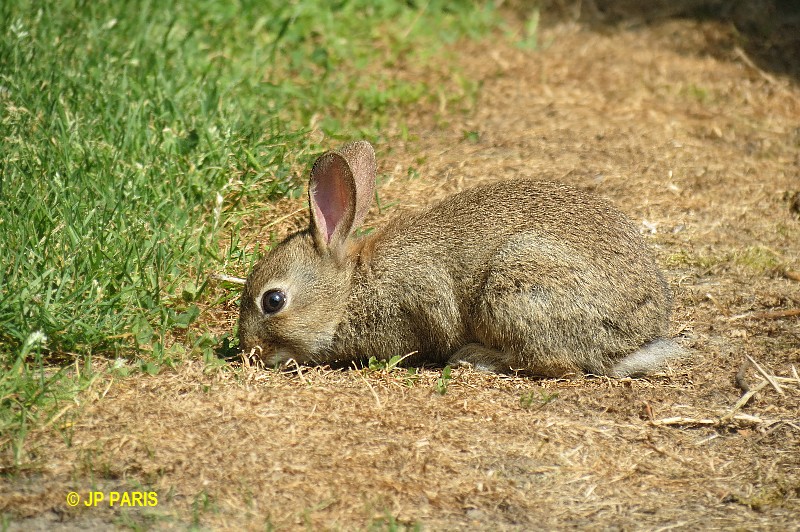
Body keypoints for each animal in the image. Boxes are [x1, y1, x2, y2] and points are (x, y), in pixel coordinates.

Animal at [236, 139, 680, 376]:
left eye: (273, 300)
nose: (248, 352)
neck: (349, 291)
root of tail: (633, 337)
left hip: (517, 288)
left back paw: (475, 358)